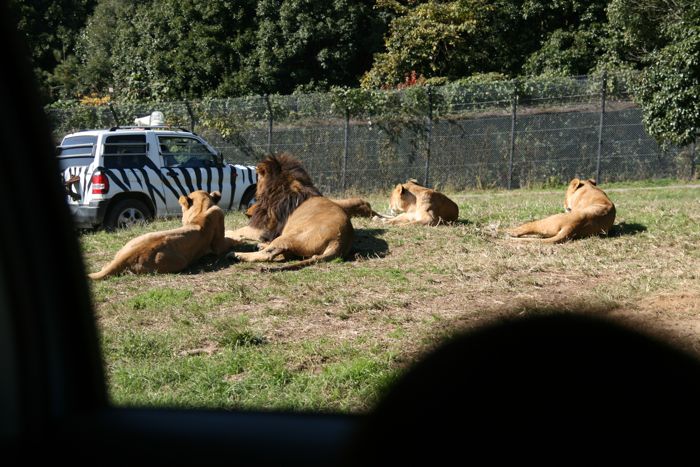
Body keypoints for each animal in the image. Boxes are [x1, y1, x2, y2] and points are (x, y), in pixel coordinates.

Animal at [88, 192, 232, 280]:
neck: (200, 210)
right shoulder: (219, 245)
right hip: (180, 262)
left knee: (107, 265)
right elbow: (230, 241)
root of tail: (127, 256)